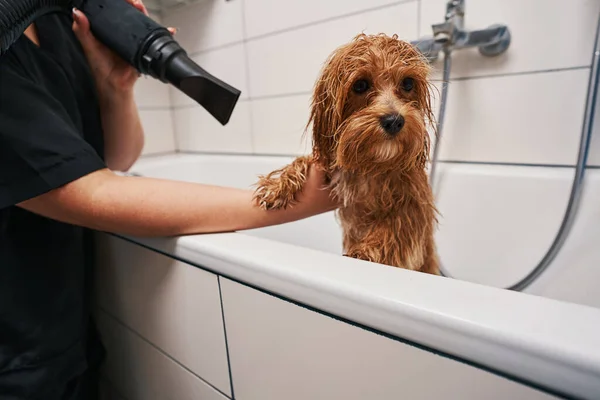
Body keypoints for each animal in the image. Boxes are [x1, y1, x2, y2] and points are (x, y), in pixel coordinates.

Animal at [253, 33, 440, 276]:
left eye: (408, 83)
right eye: (360, 85)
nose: (394, 121)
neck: (374, 163)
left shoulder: (414, 204)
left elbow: (394, 228)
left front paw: (365, 252)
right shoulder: (330, 163)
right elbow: (305, 159)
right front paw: (278, 185)